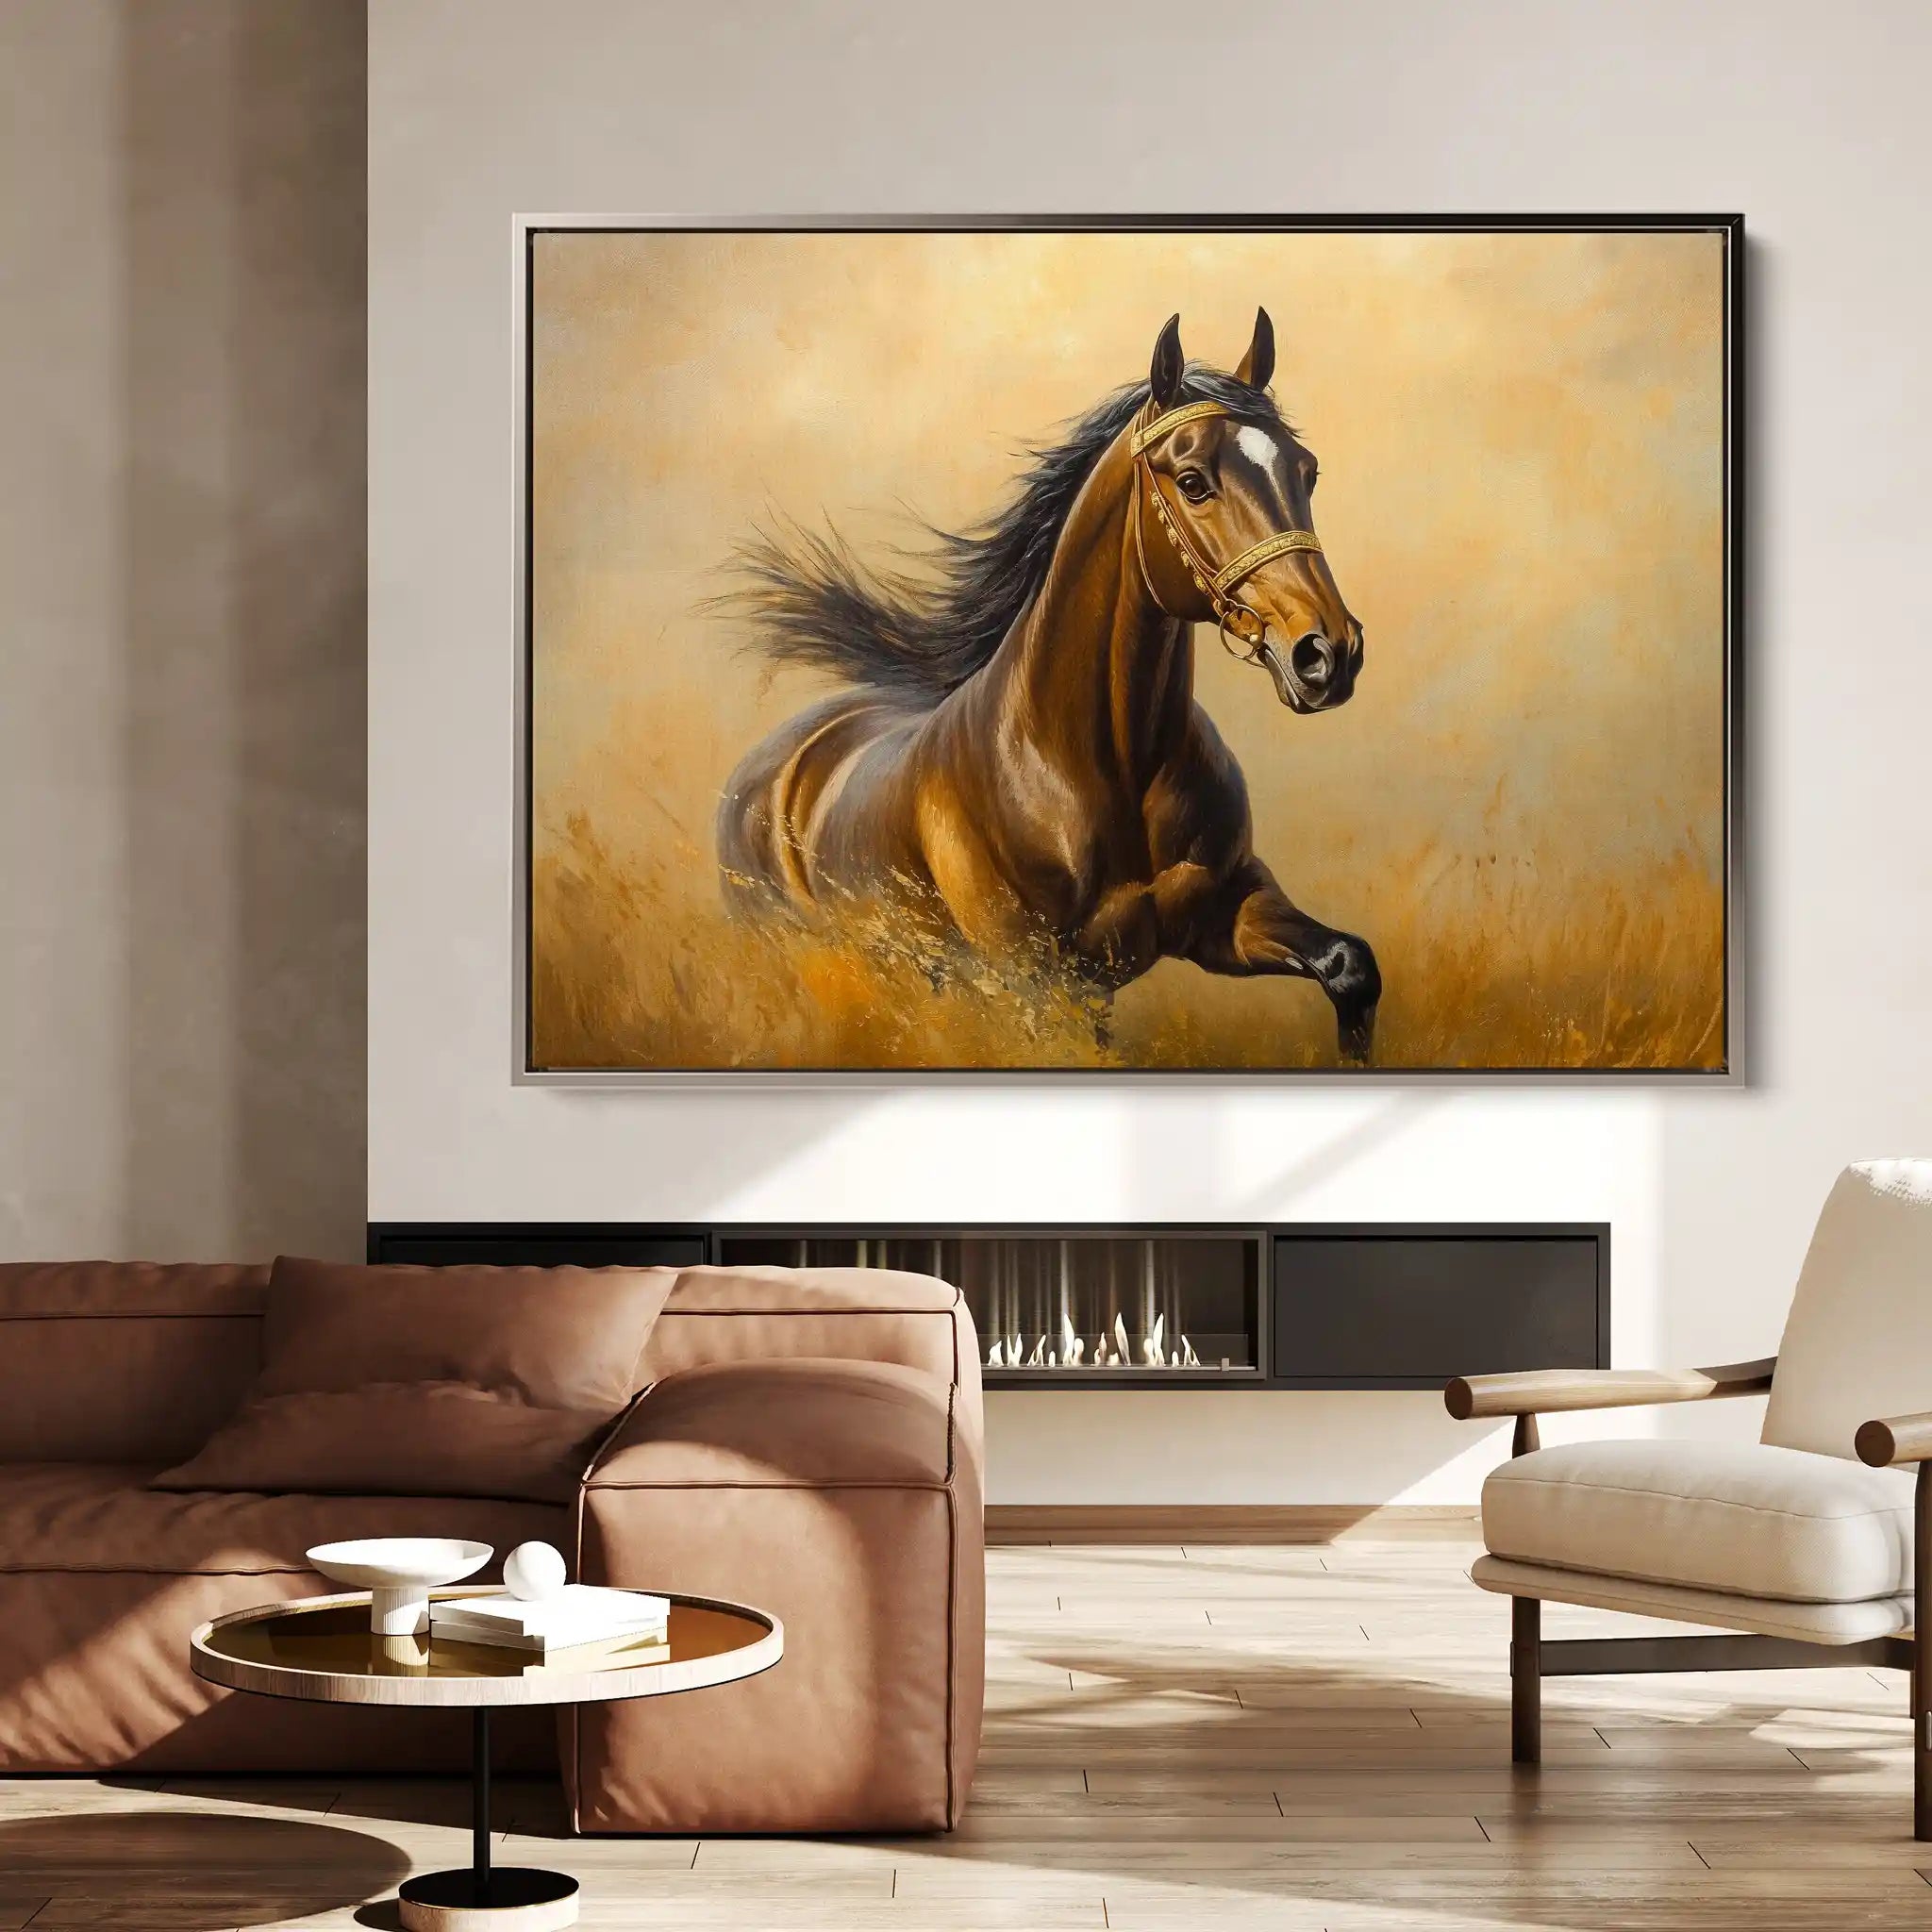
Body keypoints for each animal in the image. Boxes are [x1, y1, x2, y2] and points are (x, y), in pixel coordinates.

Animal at [714, 309, 1381, 1062]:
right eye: (1192, 482)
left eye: (1307, 472)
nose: (1328, 653)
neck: (1093, 763)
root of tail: (769, 767)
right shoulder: (1039, 981)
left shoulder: (1225, 916)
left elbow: (1350, 965)